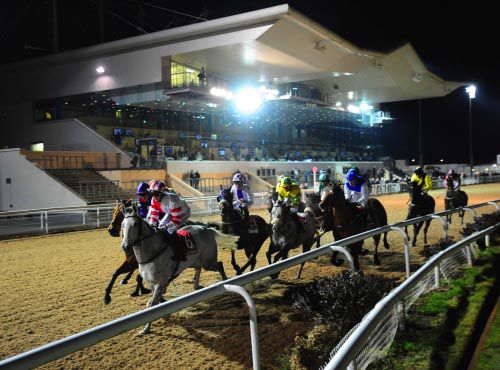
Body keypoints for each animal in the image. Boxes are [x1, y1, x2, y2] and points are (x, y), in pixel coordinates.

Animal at [122, 202, 237, 336]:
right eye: (122, 224)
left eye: (135, 224)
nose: (125, 246)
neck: (152, 253)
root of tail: (207, 229)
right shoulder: (150, 282)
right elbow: (155, 302)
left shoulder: (160, 282)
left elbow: (154, 304)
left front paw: (146, 329)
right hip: (192, 261)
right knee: (198, 268)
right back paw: (196, 285)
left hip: (208, 261)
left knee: (219, 264)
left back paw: (225, 280)